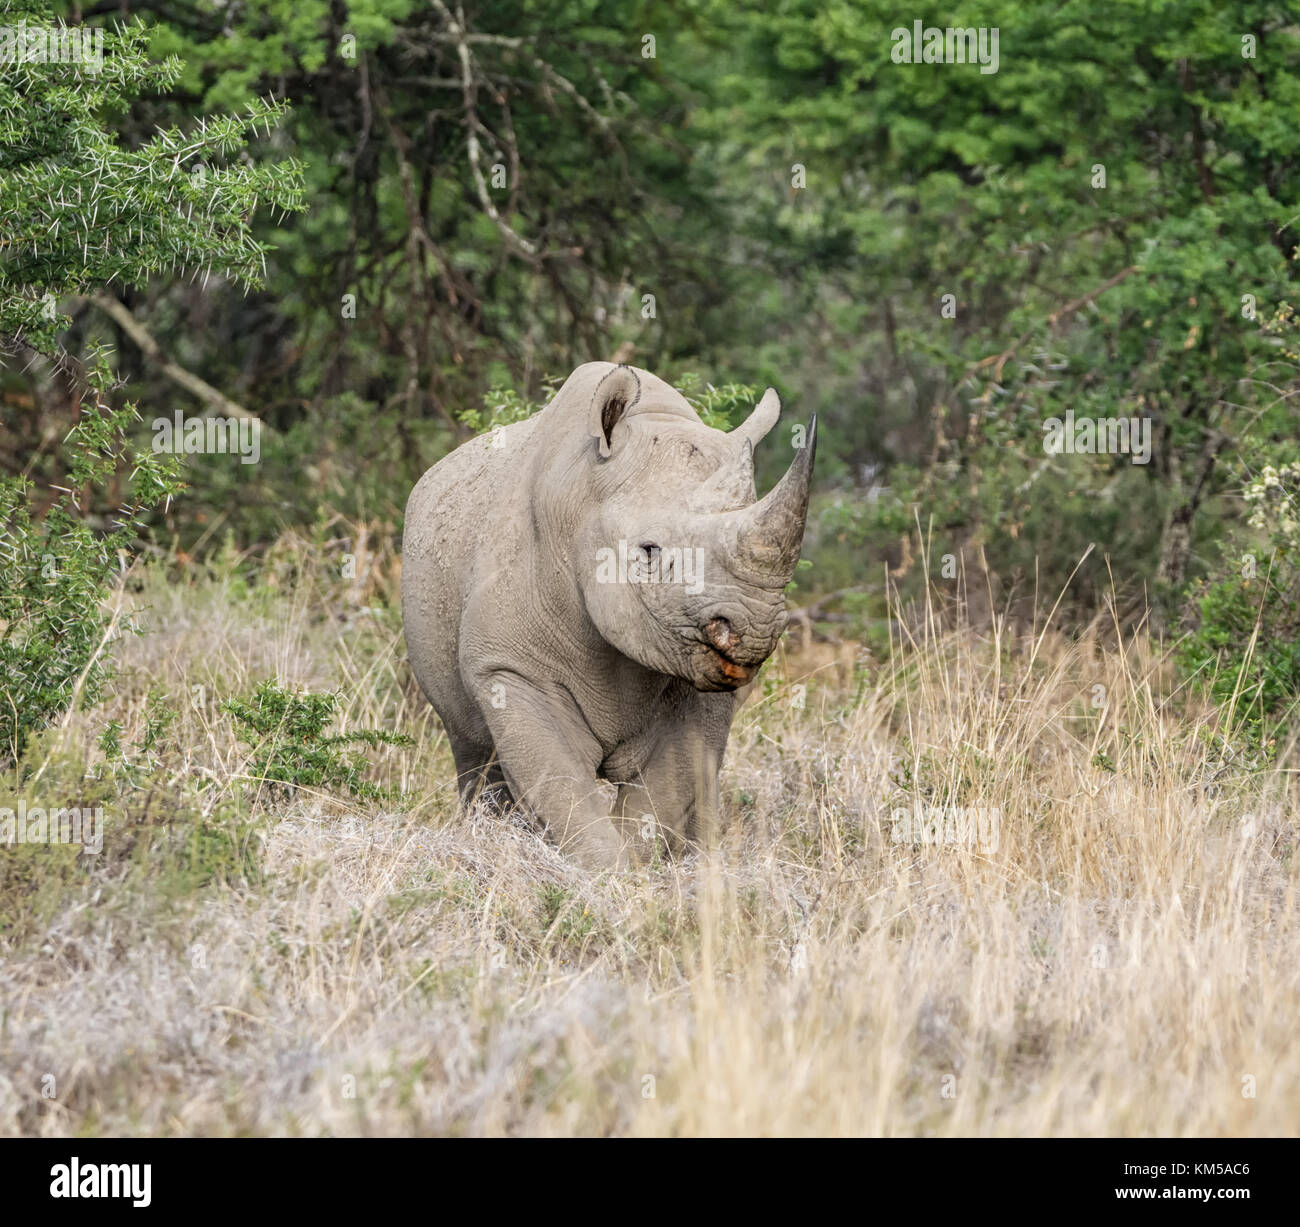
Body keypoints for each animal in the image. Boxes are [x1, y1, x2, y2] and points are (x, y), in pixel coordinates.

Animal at [402, 362, 816, 870]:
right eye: (650, 551)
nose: (754, 629)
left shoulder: (699, 677)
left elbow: (661, 796)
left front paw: (641, 874)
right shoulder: (508, 667)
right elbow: (561, 789)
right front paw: (608, 877)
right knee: (474, 749)